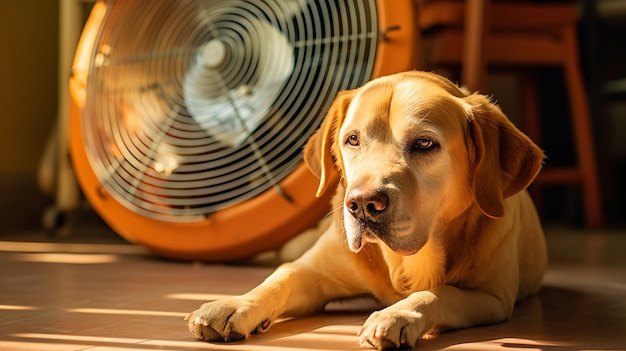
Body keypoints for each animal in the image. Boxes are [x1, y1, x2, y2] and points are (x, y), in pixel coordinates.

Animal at [185, 71, 544, 350]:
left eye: (425, 143)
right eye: (353, 140)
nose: (362, 204)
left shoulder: (492, 297)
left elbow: (440, 293)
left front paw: (397, 314)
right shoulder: (314, 272)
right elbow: (281, 277)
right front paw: (234, 305)